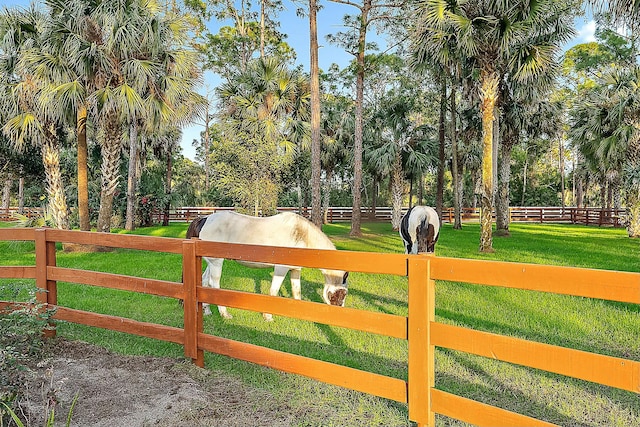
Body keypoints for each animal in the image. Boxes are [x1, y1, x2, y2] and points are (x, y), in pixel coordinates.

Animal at [185, 211, 350, 320]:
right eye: (343, 293)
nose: (339, 314)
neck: (301, 234)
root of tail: (206, 218)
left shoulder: (295, 270)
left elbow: (296, 291)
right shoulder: (281, 268)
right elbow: (273, 290)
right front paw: (268, 316)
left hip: (210, 262)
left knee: (204, 281)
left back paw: (207, 310)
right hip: (217, 262)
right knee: (214, 284)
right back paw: (225, 314)